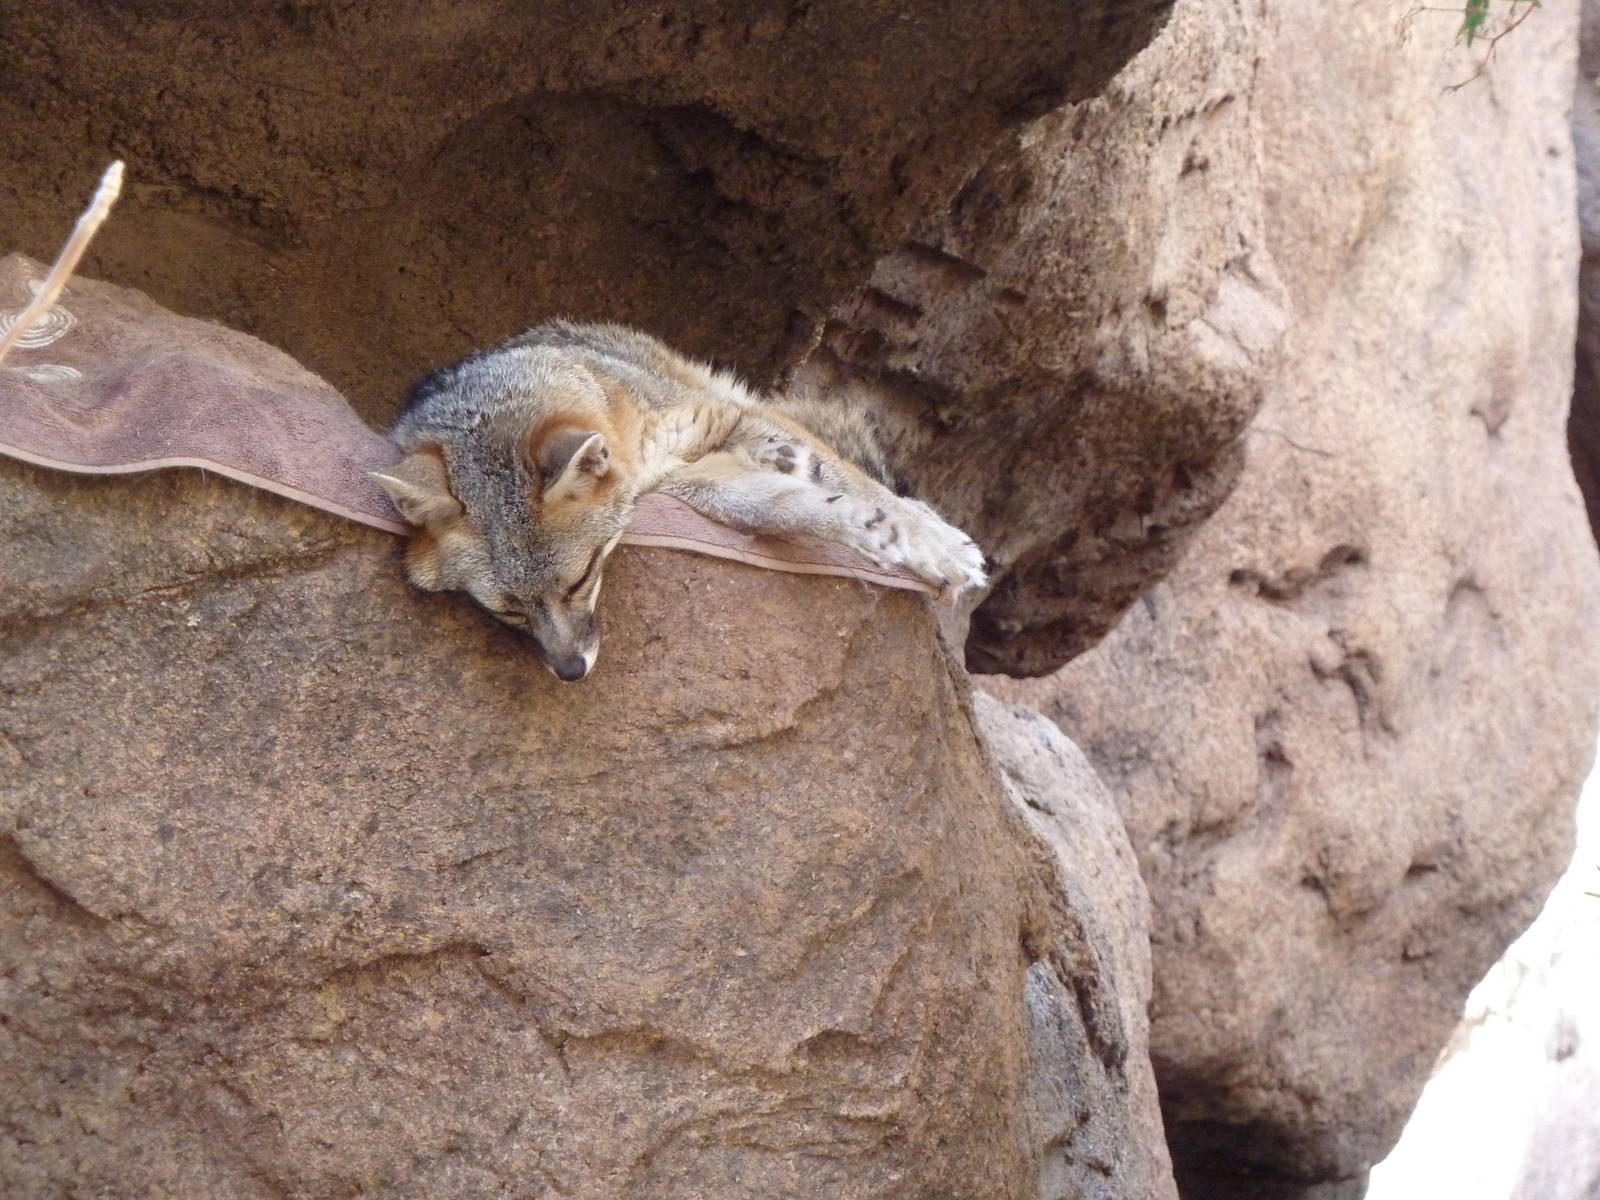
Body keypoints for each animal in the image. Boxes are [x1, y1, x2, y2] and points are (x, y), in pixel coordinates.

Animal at [371, 320, 986, 680]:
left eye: (580, 581)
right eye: (507, 611)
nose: (570, 671)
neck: (641, 444)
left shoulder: (724, 422)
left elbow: (864, 486)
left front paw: (934, 546)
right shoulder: (689, 483)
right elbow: (781, 507)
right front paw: (862, 525)